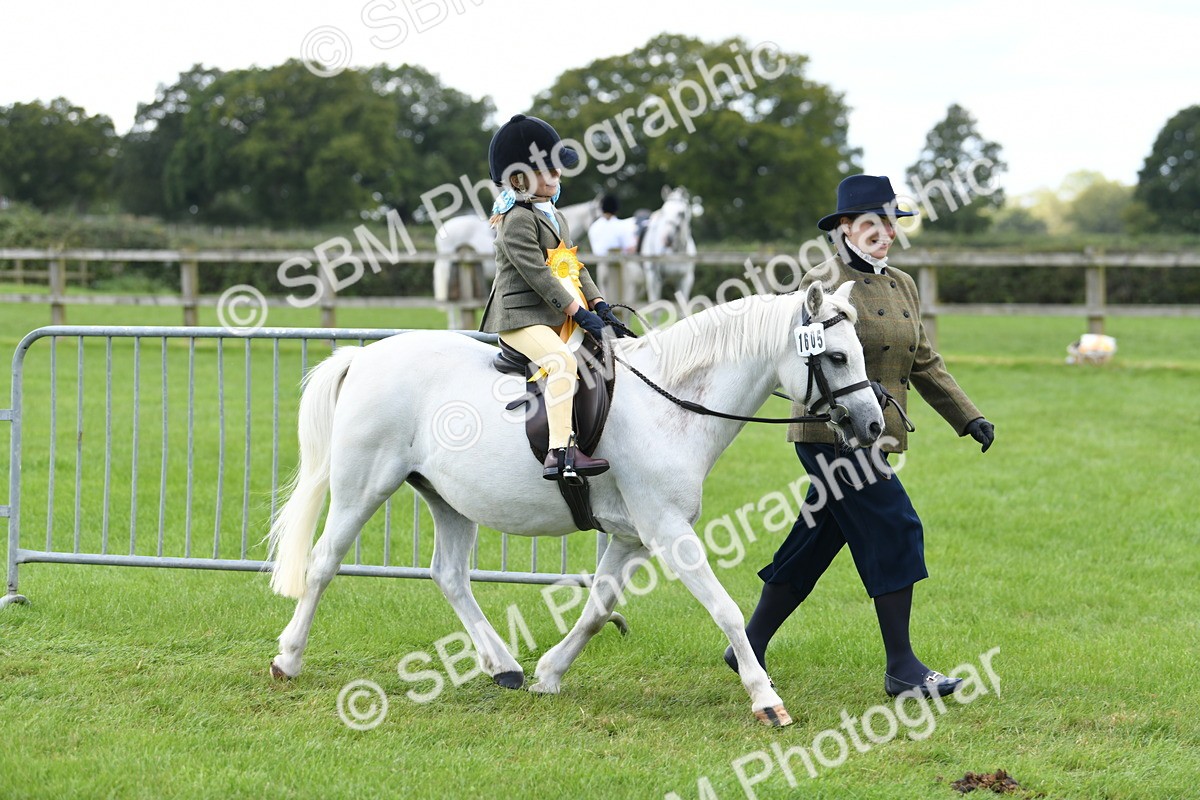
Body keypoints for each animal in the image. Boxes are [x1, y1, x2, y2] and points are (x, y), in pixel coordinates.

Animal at [267, 280, 883, 726]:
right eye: (834, 358)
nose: (873, 425)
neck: (673, 403)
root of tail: (364, 357)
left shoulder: (632, 537)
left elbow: (596, 610)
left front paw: (549, 674)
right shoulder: (667, 531)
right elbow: (727, 610)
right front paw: (766, 700)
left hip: (448, 499)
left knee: (450, 576)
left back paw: (505, 667)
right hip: (363, 487)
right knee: (323, 564)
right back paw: (287, 659)